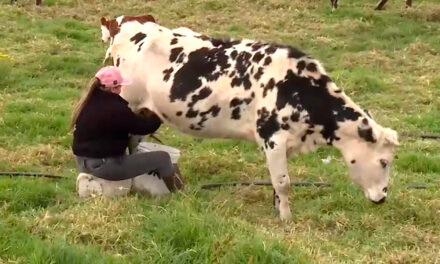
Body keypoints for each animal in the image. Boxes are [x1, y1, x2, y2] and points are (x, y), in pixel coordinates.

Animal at [105, 20, 398, 221]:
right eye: (384, 161)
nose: (383, 198)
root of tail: (131, 26)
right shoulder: (272, 137)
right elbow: (283, 182)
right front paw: (286, 219)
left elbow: (278, 182)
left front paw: (278, 208)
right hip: (127, 103)